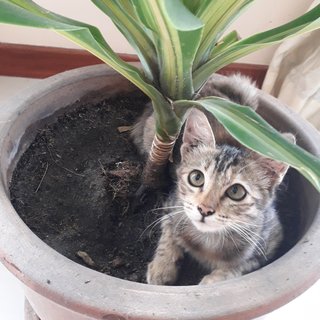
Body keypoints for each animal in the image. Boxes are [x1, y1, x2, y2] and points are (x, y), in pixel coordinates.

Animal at [131, 75, 294, 284]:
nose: (204, 210)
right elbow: (168, 235)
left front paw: (212, 280)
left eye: (236, 191)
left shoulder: (271, 240)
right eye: (196, 178)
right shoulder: (173, 204)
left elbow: (239, 266)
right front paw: (162, 267)